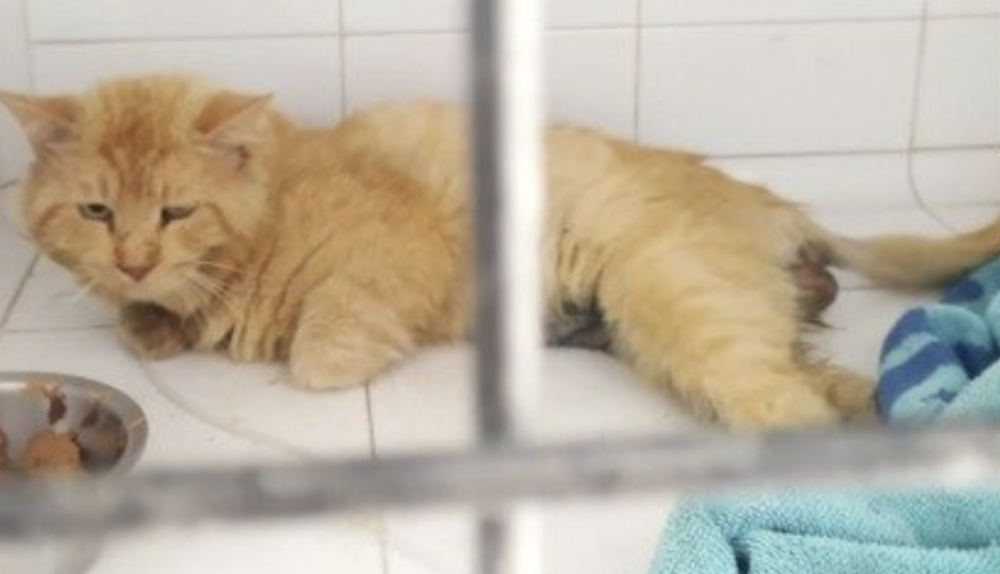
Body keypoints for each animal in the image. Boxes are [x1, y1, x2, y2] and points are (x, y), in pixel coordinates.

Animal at [3, 75, 998, 429]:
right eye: (96, 211)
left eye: (175, 210)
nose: (134, 258)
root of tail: (764, 200)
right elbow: (144, 324)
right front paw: (153, 319)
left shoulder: (400, 262)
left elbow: (325, 345)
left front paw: (291, 351)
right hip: (690, 325)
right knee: (834, 379)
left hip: (681, 307)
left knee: (792, 406)